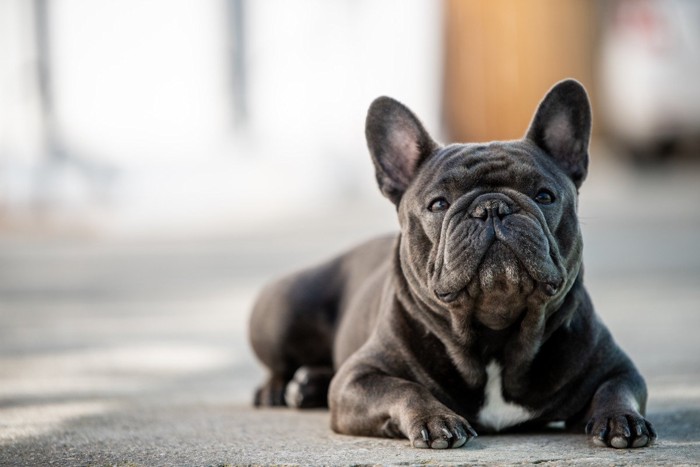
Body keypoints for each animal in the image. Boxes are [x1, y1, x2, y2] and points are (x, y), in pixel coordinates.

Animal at [252, 79, 656, 450]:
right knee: (280, 365)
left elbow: (616, 389)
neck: (495, 337)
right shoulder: (357, 379)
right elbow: (404, 389)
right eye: (439, 204)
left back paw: (307, 385)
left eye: (544, 196)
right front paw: (437, 419)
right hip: (283, 310)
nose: (492, 206)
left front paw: (622, 419)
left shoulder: (616, 367)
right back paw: (279, 390)